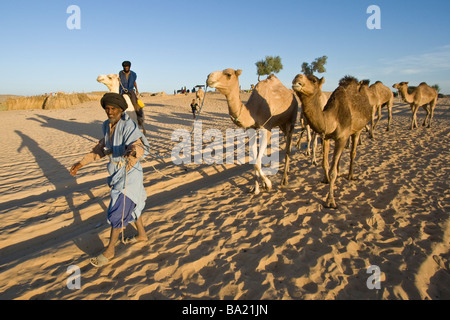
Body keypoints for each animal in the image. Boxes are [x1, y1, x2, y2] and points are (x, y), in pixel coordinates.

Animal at [292, 73, 372, 208]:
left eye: (313, 80)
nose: (297, 80)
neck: (332, 118)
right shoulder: (326, 137)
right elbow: (325, 163)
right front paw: (325, 179)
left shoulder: (342, 137)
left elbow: (332, 171)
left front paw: (330, 201)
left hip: (357, 129)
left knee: (352, 153)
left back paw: (350, 175)